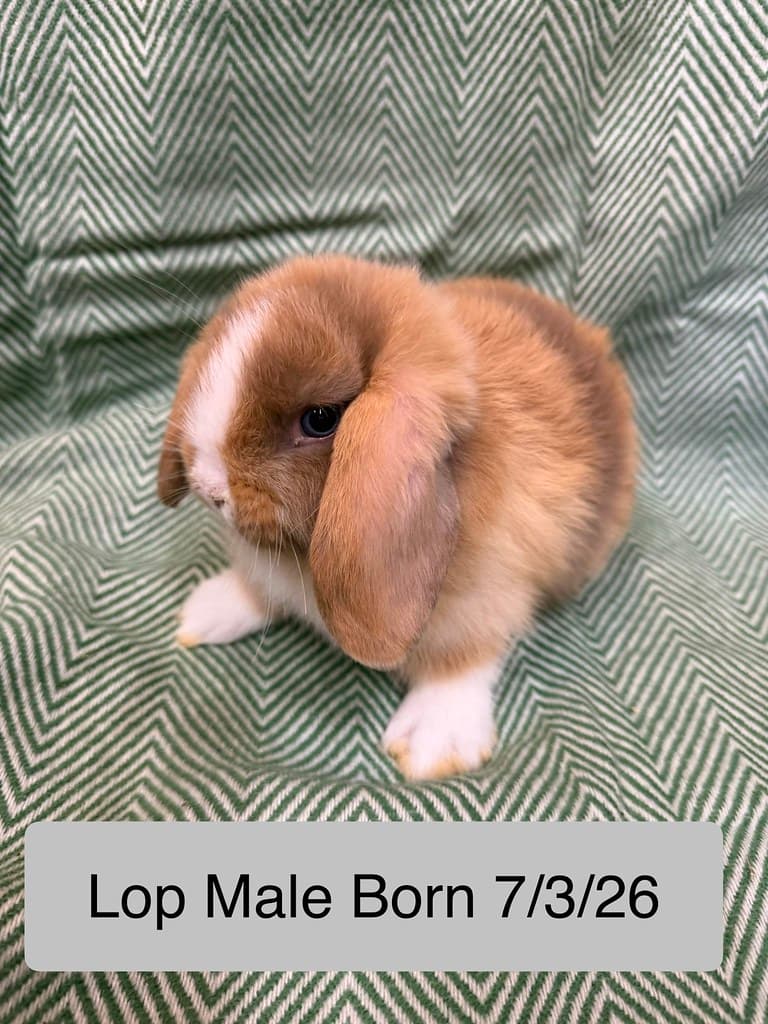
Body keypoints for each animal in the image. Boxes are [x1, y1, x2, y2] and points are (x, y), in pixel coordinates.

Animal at [158, 254, 636, 781]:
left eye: (320, 419)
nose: (209, 488)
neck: (301, 558)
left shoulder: (486, 598)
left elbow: (462, 663)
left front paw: (434, 743)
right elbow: (260, 589)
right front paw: (205, 610)